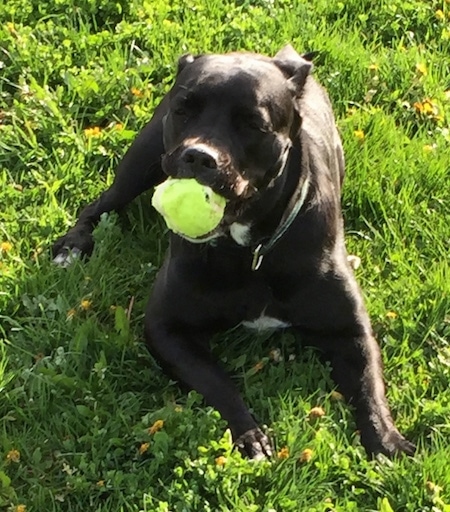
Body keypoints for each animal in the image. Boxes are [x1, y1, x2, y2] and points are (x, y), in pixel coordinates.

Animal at [51, 46, 414, 458]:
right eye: (184, 109)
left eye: (253, 123)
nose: (198, 156)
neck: (250, 250)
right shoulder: (166, 328)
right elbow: (218, 382)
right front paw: (250, 434)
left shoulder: (350, 330)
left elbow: (370, 388)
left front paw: (387, 442)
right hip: (142, 159)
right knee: (101, 203)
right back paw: (73, 246)